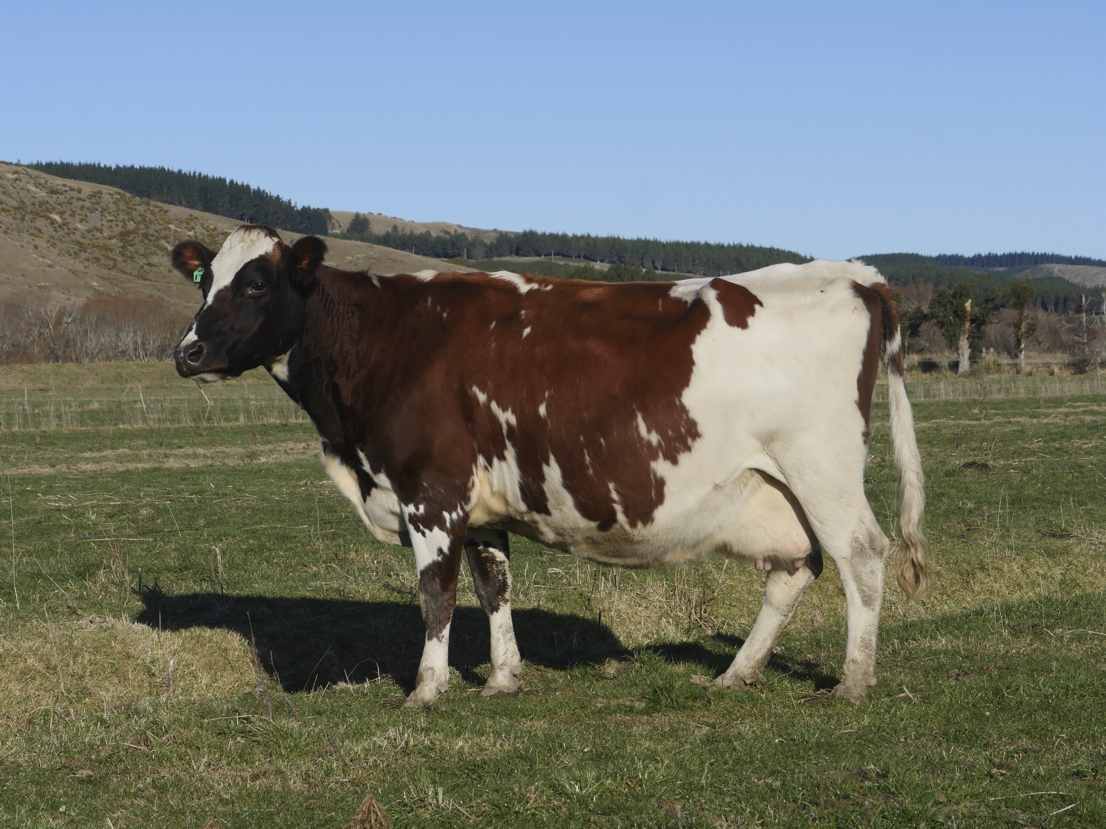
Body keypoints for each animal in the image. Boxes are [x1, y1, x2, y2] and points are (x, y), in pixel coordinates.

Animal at [170, 225, 933, 707]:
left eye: (258, 283)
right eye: (204, 279)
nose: (188, 352)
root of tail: (851, 273)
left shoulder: (430, 490)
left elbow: (436, 593)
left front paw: (426, 689)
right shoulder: (479, 504)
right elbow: (493, 585)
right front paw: (503, 678)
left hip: (822, 466)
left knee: (862, 555)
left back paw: (853, 681)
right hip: (773, 487)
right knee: (794, 568)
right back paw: (736, 674)